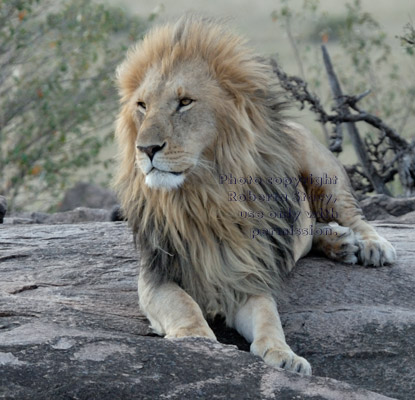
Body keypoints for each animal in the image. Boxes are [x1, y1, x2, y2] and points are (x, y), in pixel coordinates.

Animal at [113, 14, 396, 376]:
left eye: (185, 102)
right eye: (142, 106)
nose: (145, 149)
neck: (202, 197)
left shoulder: (247, 275)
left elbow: (267, 316)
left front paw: (284, 355)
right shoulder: (155, 274)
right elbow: (182, 304)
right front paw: (195, 339)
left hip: (322, 172)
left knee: (353, 215)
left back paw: (370, 246)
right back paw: (340, 243)